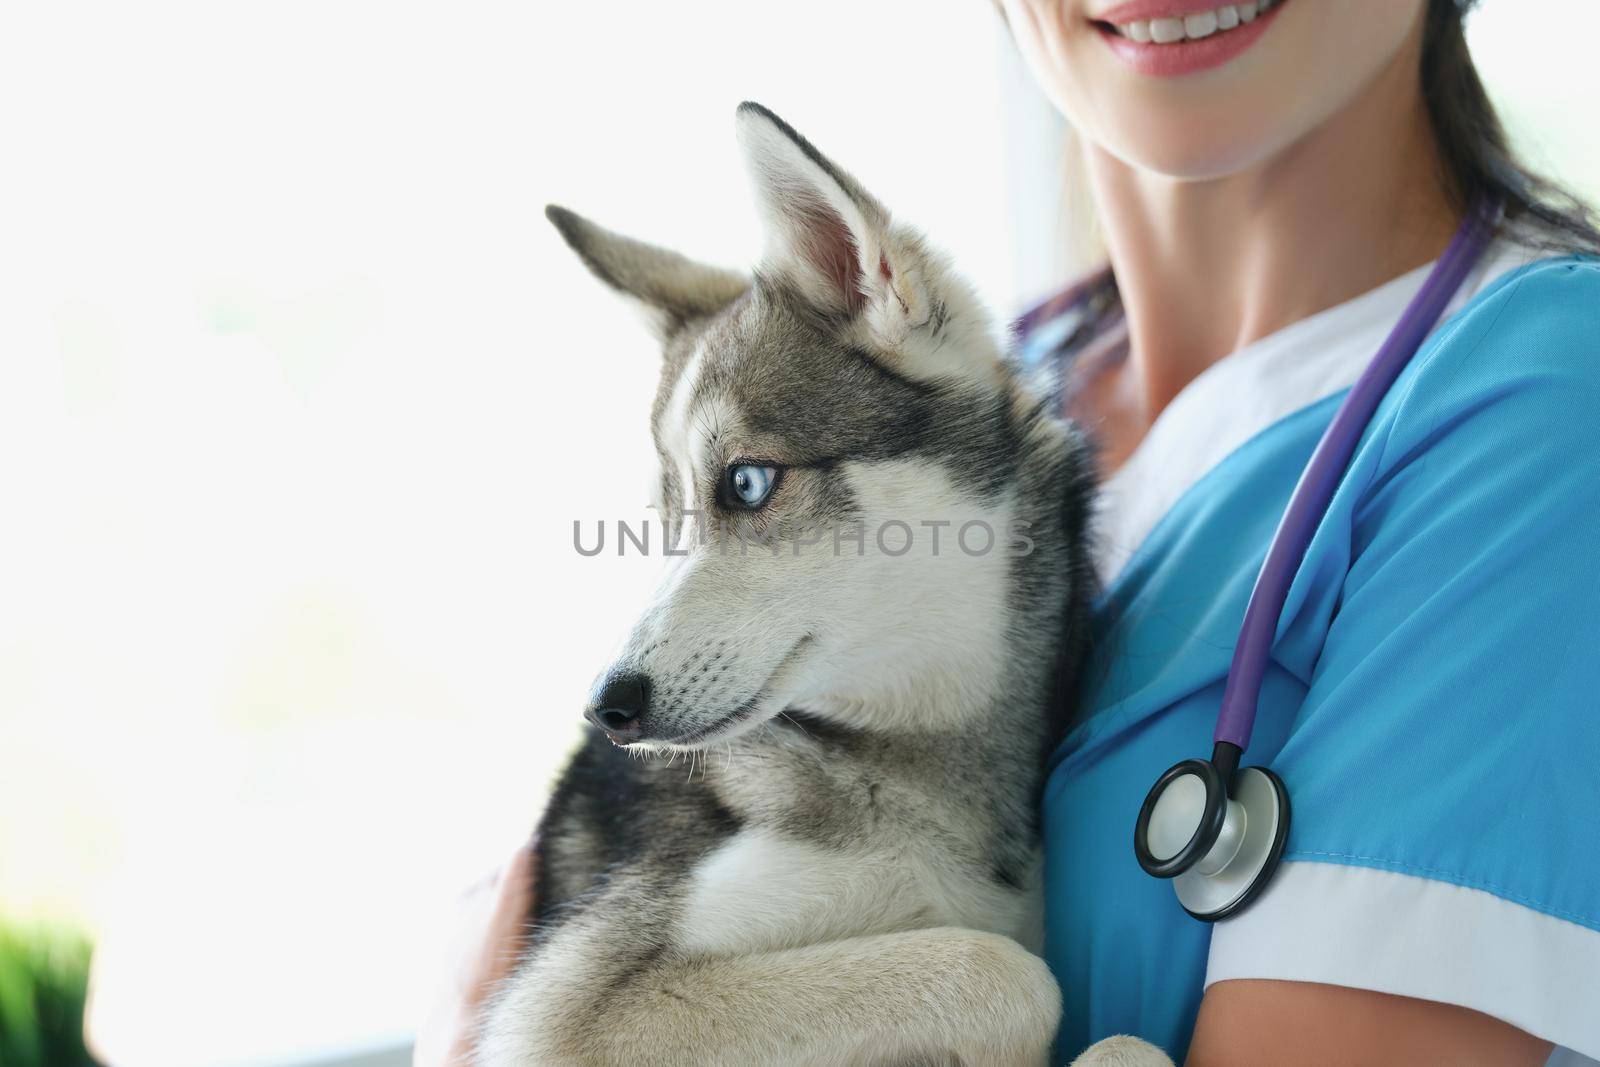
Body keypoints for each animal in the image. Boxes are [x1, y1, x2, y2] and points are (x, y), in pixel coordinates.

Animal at [480, 106, 1171, 1067]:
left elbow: (1120, 1036)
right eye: (664, 519)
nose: (606, 706)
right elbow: (1003, 970)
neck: (906, 750)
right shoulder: (565, 1011)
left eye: (746, 483)